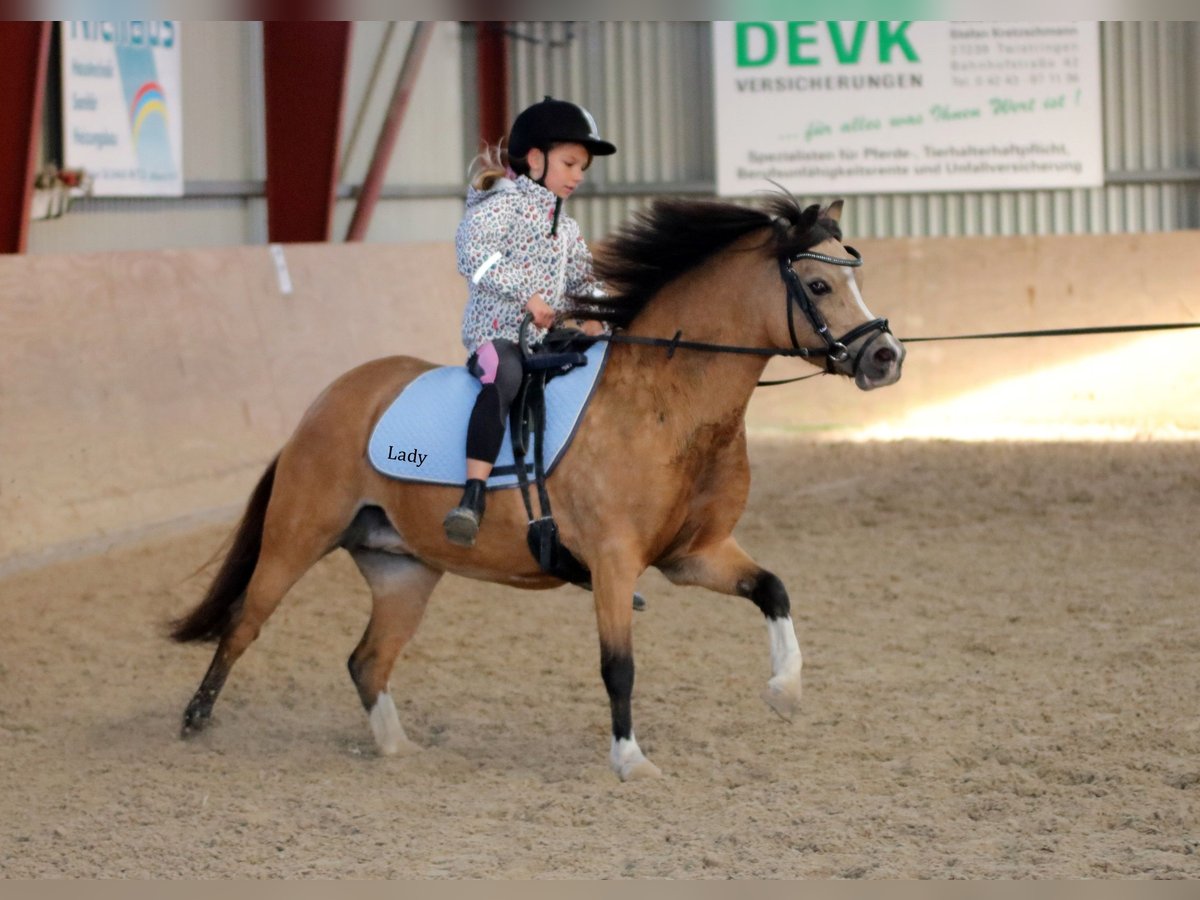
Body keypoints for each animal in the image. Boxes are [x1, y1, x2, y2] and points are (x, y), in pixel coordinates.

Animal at [166, 195, 902, 782]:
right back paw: (194, 722)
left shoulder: (695, 554)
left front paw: (785, 690)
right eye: (818, 284)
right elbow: (619, 666)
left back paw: (400, 751)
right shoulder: (613, 562)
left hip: (404, 570)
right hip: (297, 538)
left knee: (367, 661)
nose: (885, 357)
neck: (667, 403)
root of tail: (327, 401)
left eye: (855, 277)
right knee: (245, 622)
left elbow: (773, 589)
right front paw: (631, 761)